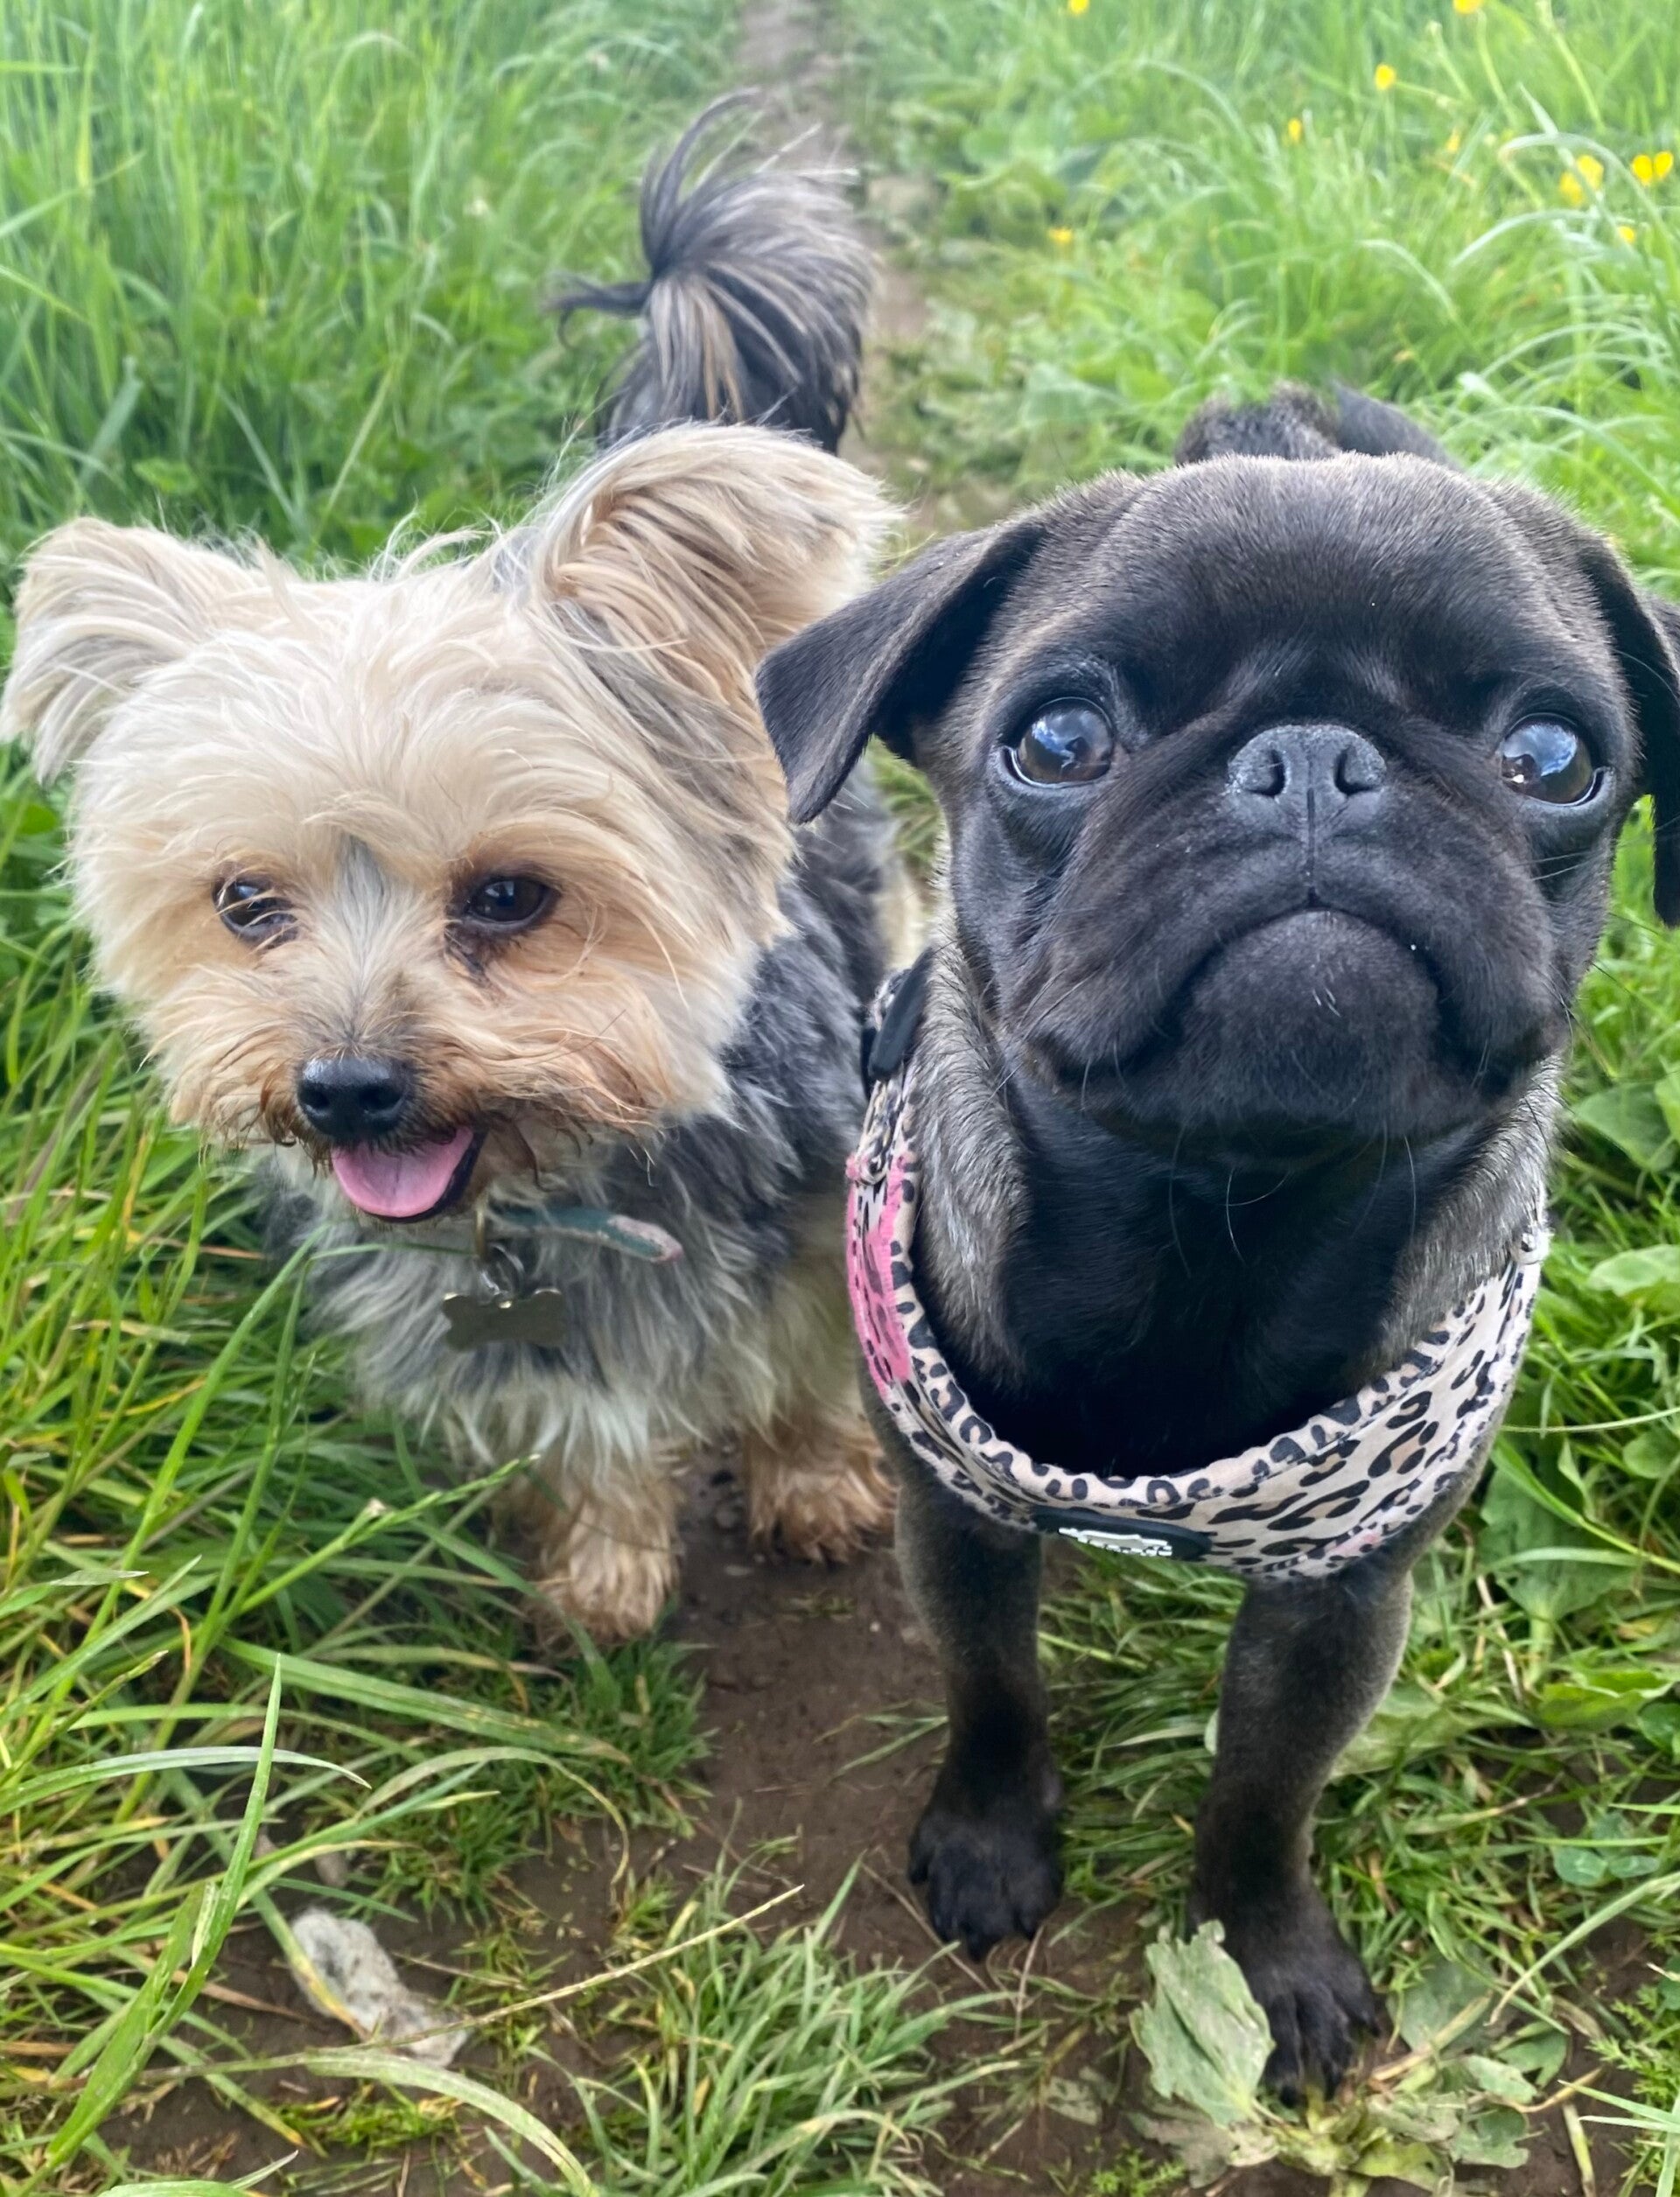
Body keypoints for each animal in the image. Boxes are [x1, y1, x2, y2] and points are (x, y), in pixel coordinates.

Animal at [0, 111, 902, 1642]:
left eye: (510, 897)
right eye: (245, 903)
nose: (345, 1087)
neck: (550, 1197)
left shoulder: (800, 1233)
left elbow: (805, 1368)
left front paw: (817, 1487)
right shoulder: (487, 1335)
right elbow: (584, 1431)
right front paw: (602, 1576)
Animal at [754, 381, 1680, 2096]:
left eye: (1552, 755)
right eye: (1058, 739)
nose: (1313, 762)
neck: (1215, 1216)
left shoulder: (1340, 1605)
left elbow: (1265, 1790)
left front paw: (1271, 1961)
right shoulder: (954, 1521)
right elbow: (992, 1688)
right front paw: (991, 1841)